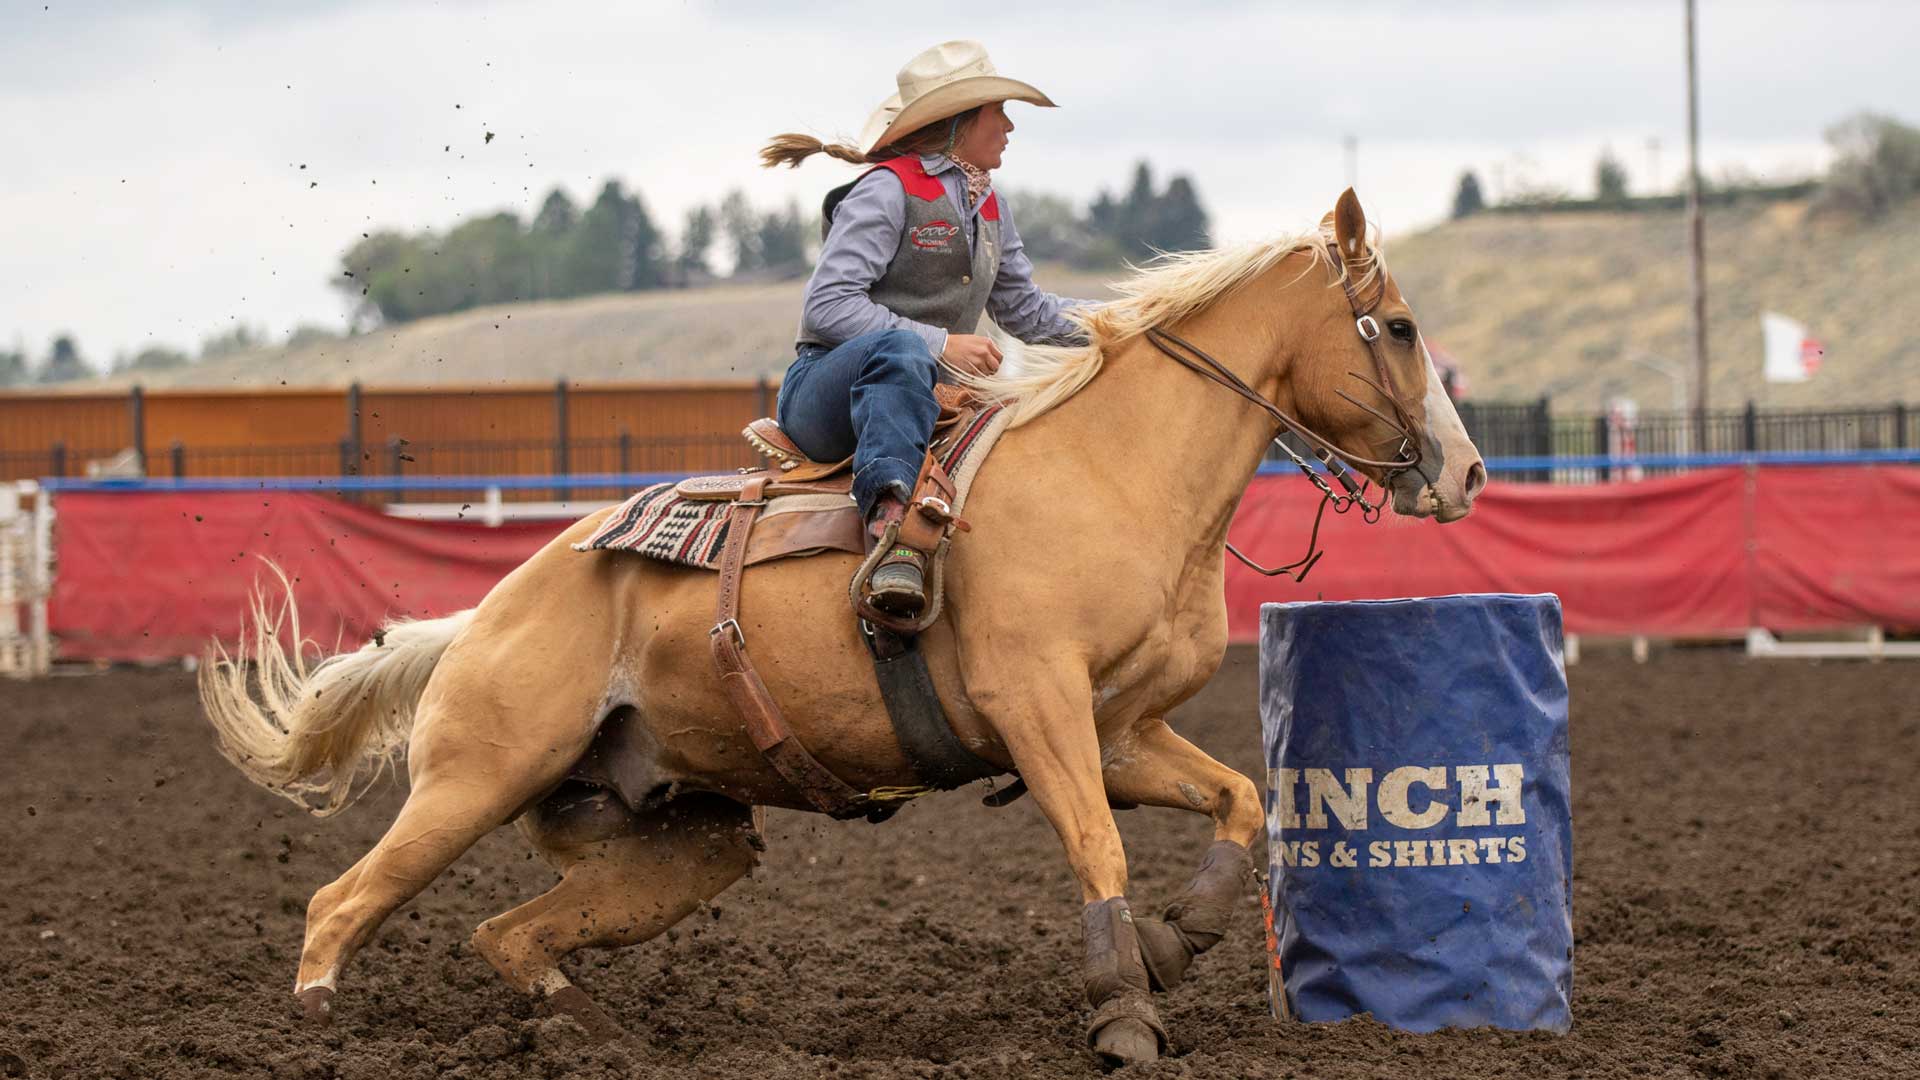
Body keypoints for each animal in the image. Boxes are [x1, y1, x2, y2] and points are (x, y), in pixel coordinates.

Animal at [198, 189, 1482, 1060]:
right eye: (1399, 326)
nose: (1466, 474)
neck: (1116, 471)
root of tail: (481, 616)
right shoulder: (1039, 709)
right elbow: (1099, 847)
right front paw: (1123, 1009)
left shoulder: (1121, 732)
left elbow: (1242, 800)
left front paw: (1179, 943)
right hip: (476, 778)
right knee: (340, 905)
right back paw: (316, 1025)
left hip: (682, 841)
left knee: (507, 936)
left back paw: (593, 1034)